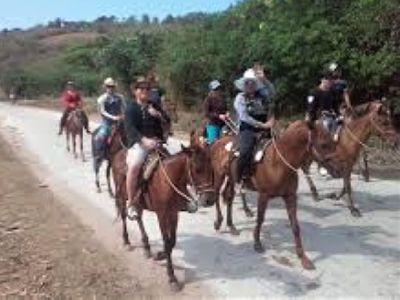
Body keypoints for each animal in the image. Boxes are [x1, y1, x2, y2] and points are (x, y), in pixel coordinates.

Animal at [111, 144, 217, 290]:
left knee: (139, 218)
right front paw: (171, 277)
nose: (209, 200)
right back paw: (126, 241)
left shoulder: (174, 214)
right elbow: (167, 242)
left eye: (211, 168)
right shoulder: (161, 215)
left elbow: (172, 241)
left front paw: (160, 255)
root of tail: (118, 153)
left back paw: (146, 247)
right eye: (197, 169)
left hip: (138, 202)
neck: (167, 181)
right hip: (122, 196)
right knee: (123, 216)